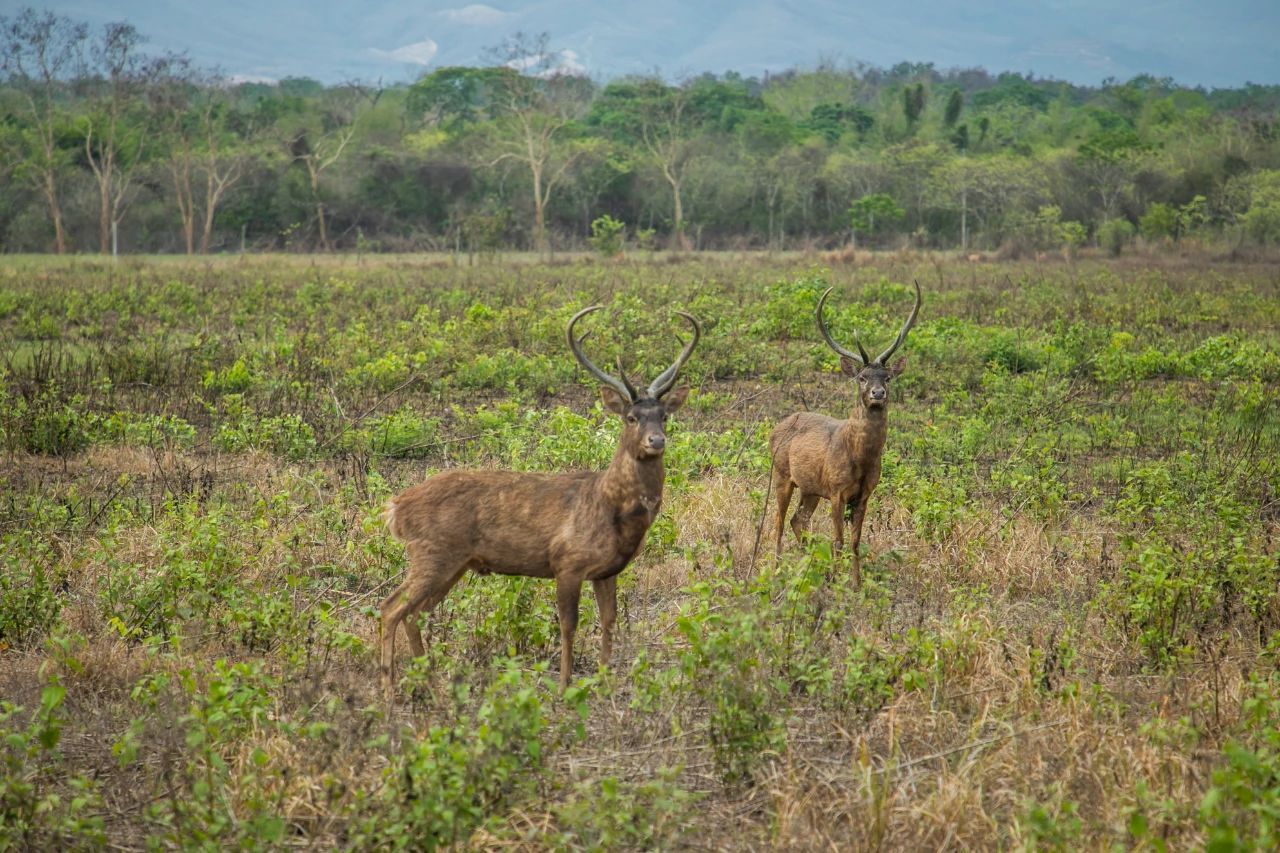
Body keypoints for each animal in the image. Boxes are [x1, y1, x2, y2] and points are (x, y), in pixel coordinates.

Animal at [378, 306, 701, 696]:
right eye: (631, 417)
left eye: (664, 416)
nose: (656, 441)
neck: (613, 510)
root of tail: (396, 508)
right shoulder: (567, 561)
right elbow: (569, 625)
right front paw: (564, 685)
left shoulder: (608, 570)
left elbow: (609, 621)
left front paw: (605, 681)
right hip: (432, 552)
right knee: (390, 608)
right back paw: (388, 692)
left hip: (454, 562)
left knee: (414, 613)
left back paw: (432, 686)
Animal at [768, 281, 921, 581]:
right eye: (862, 377)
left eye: (887, 377)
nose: (877, 393)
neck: (861, 458)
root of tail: (774, 430)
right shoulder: (837, 491)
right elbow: (838, 540)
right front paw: (835, 579)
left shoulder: (864, 495)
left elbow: (855, 542)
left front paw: (856, 583)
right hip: (781, 473)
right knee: (778, 521)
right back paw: (777, 568)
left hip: (810, 487)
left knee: (797, 519)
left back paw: (808, 563)